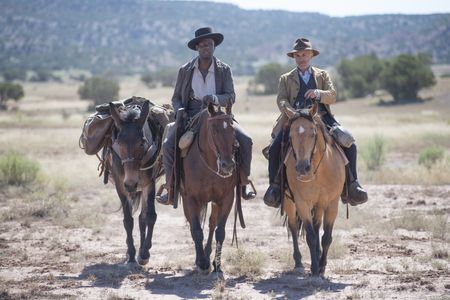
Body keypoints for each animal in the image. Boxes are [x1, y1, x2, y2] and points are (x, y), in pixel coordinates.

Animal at [106, 101, 162, 264]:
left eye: (142, 143)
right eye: (118, 143)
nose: (131, 184)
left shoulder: (149, 184)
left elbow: (150, 216)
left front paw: (144, 253)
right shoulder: (121, 187)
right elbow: (127, 220)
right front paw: (131, 253)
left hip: (142, 188)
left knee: (142, 217)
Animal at [181, 102, 241, 276]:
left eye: (232, 129)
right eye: (214, 130)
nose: (228, 165)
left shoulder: (227, 198)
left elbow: (220, 231)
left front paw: (217, 265)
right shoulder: (191, 199)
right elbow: (196, 230)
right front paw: (201, 263)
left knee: (212, 224)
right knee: (193, 225)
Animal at [284, 102, 346, 276]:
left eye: (312, 134)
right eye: (290, 136)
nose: (302, 168)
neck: (319, 172)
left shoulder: (332, 203)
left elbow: (326, 237)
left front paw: (322, 266)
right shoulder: (302, 203)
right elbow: (311, 236)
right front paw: (314, 268)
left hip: (319, 205)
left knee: (317, 226)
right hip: (289, 201)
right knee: (293, 227)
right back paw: (299, 263)